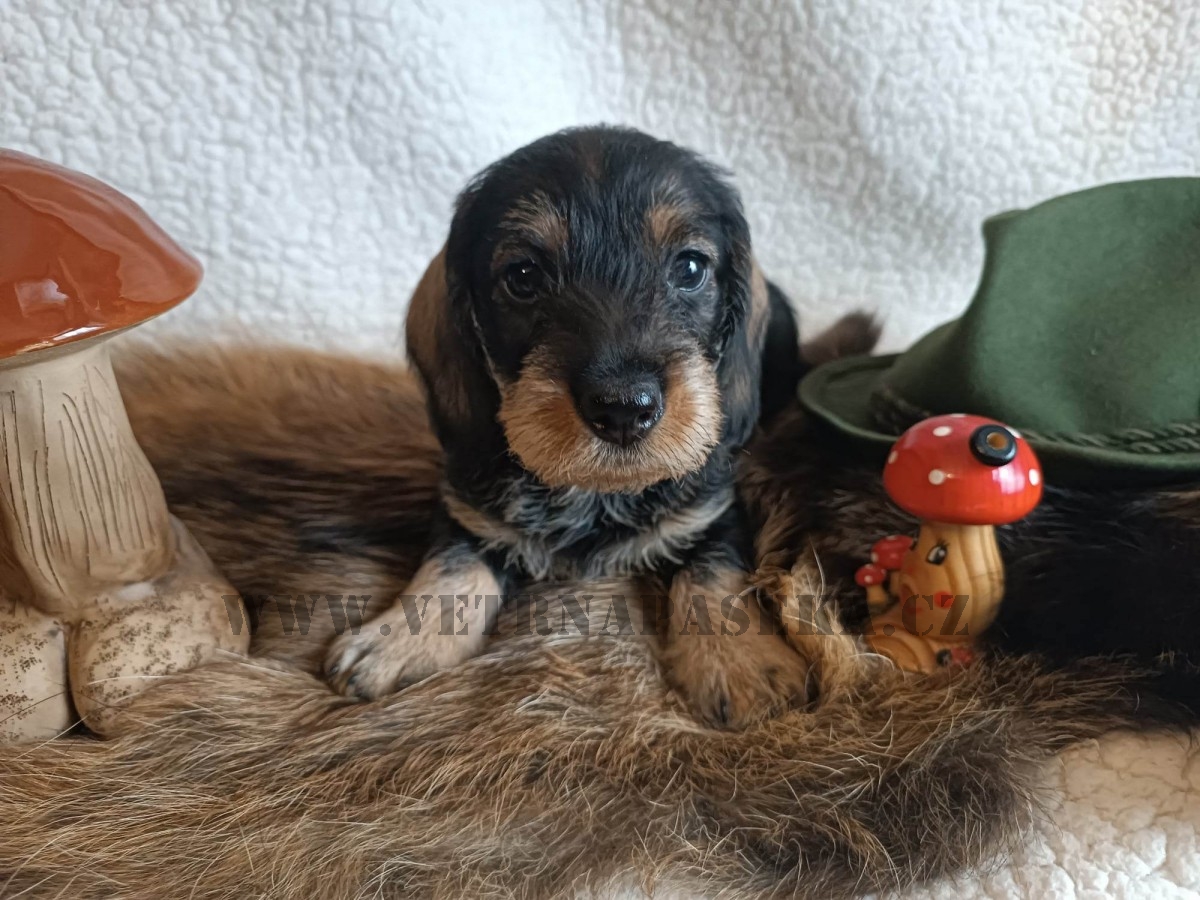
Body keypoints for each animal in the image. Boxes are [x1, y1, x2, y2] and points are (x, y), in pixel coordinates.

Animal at [321, 125, 874, 726]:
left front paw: (741, 659)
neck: (593, 495)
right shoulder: (467, 509)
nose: (624, 409)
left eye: (690, 268)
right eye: (522, 276)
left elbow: (713, 573)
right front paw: (403, 638)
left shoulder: (715, 510)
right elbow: (452, 565)